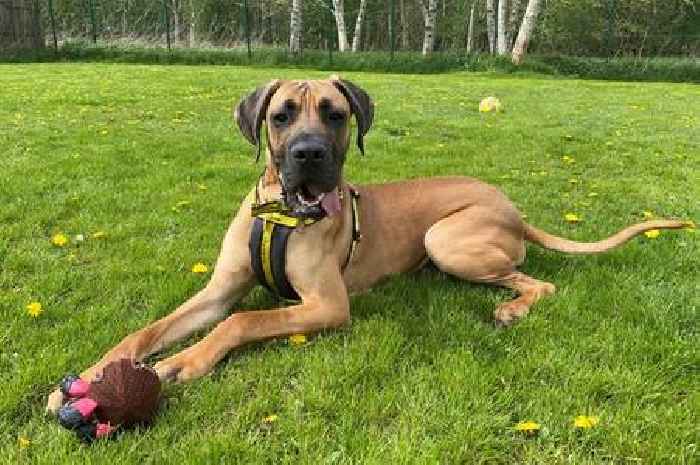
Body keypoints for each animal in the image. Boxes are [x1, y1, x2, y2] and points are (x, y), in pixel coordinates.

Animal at [46, 77, 688, 414]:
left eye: (335, 115)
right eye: (280, 116)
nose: (309, 155)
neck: (282, 213)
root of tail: (515, 209)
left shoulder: (326, 305)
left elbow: (241, 322)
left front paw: (183, 362)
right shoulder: (219, 290)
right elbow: (147, 331)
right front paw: (89, 379)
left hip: (447, 237)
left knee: (539, 280)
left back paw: (510, 308)